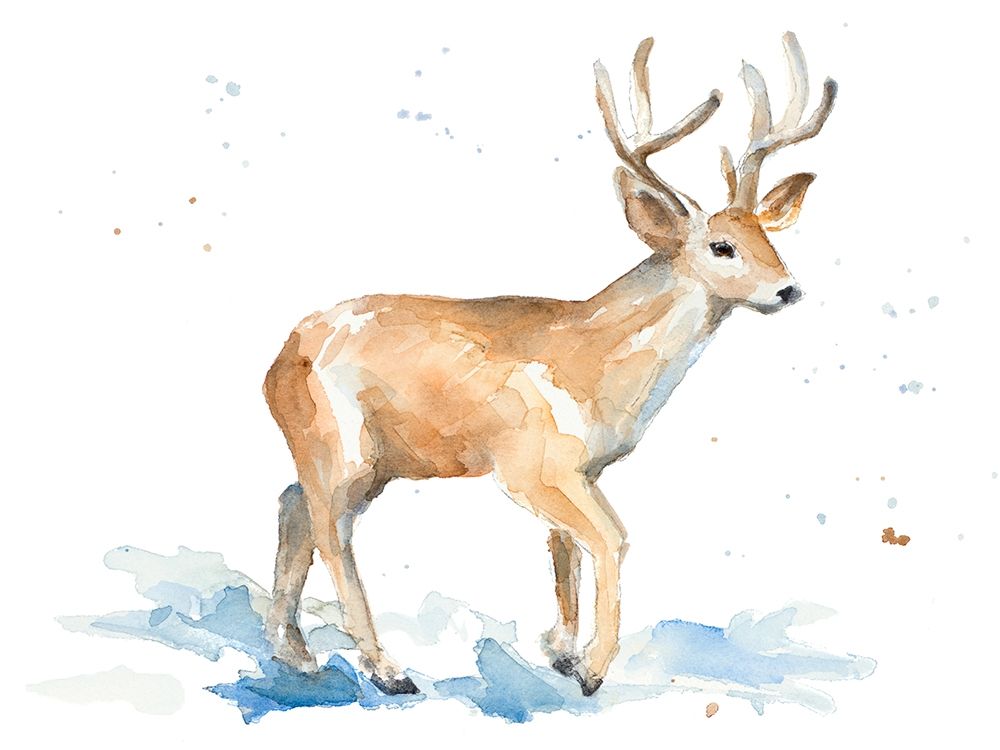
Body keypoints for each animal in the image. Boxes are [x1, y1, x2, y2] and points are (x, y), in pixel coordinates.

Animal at [262, 32, 836, 697]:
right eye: (722, 246)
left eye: (771, 238)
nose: (789, 290)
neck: (594, 363)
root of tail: (279, 359)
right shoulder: (529, 464)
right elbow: (611, 539)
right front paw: (591, 669)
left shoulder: (582, 468)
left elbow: (565, 549)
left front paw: (561, 650)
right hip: (340, 440)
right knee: (332, 531)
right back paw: (386, 669)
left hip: (364, 456)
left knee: (293, 506)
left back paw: (293, 652)